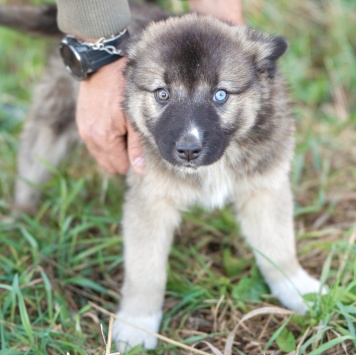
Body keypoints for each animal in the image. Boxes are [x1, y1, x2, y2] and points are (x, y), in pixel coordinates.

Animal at [0, 3, 324, 354]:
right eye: (163, 94)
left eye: (220, 95)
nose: (188, 150)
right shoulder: (149, 202)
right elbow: (146, 271)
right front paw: (137, 324)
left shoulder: (265, 187)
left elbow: (278, 247)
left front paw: (298, 288)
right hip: (52, 127)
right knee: (31, 169)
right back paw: (20, 220)